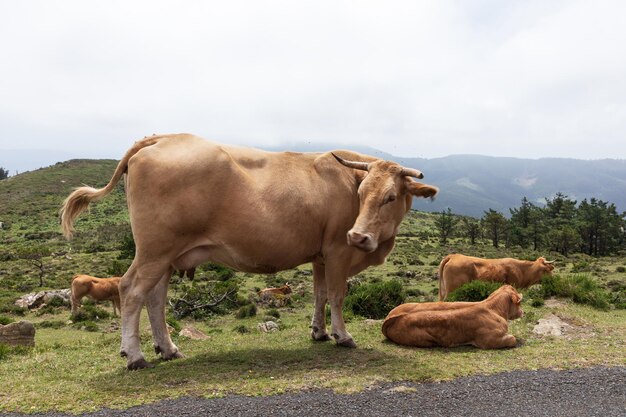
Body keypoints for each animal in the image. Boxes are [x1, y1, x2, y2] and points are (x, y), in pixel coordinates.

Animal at [61, 132, 436, 368]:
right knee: (131, 291)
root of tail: (163, 137)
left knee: (155, 298)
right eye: (361, 195)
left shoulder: (320, 255)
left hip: (166, 256)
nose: (358, 236)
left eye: (390, 196)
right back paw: (135, 356)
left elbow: (319, 295)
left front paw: (318, 332)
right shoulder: (338, 252)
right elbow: (337, 295)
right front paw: (342, 336)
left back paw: (167, 349)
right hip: (154, 251)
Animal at [380, 282, 520, 348]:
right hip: (425, 340)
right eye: (519, 302)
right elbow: (512, 339)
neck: (493, 308)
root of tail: (390, 318)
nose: (522, 312)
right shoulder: (488, 340)